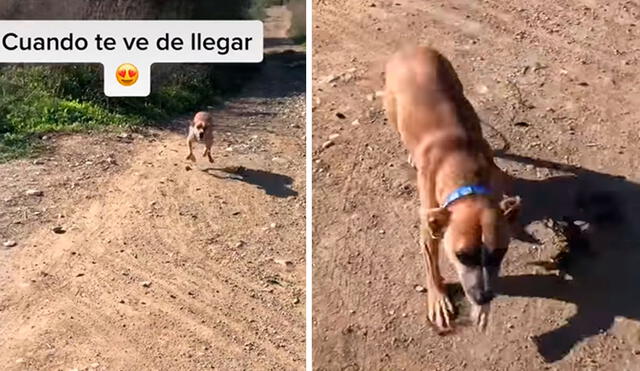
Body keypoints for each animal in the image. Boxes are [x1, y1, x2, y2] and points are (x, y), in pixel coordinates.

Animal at [384, 45, 520, 332]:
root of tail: (411, 49)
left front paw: (482, 311)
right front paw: (438, 298)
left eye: (500, 252)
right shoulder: (430, 228)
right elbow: (431, 268)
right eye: (462, 256)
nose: (484, 296)